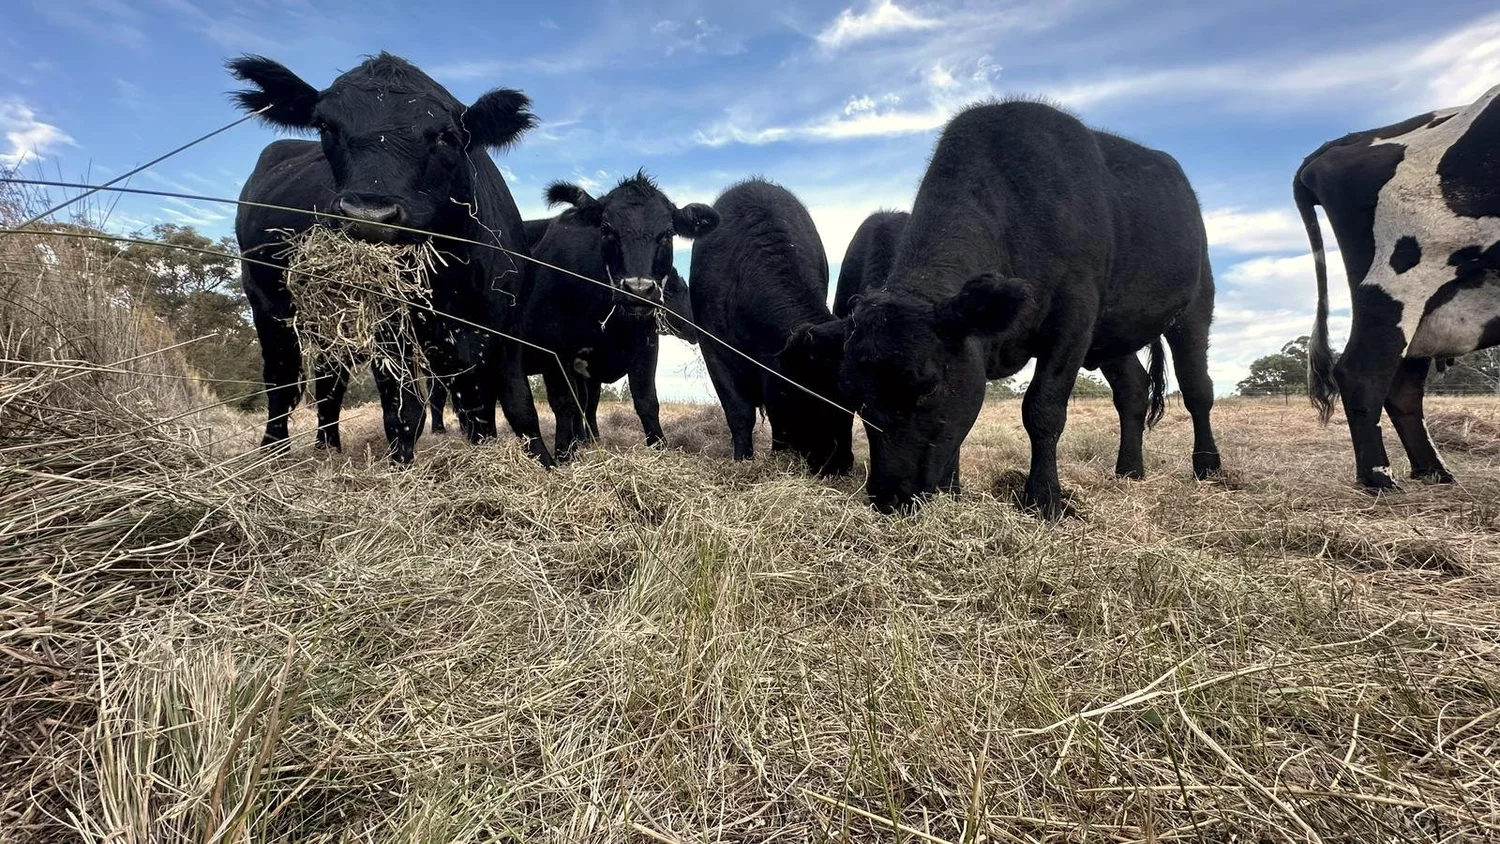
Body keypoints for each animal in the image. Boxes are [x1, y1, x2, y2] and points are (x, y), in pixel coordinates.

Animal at [228, 52, 552, 466]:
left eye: (445, 135)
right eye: (325, 126)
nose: (369, 214)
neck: (453, 281)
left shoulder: (503, 331)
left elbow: (515, 407)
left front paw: (539, 462)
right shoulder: (390, 332)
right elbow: (404, 411)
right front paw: (401, 468)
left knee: (330, 380)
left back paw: (327, 447)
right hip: (267, 305)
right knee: (281, 381)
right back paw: (273, 452)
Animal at [518, 172, 717, 457]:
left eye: (668, 233)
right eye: (606, 229)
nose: (638, 289)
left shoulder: (643, 345)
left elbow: (645, 401)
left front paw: (658, 448)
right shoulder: (554, 348)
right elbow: (566, 404)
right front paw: (565, 454)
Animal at [798, 100, 1221, 517]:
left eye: (927, 385)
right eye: (852, 394)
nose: (890, 497)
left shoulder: (1073, 320)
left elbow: (1042, 408)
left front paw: (1044, 498)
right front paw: (954, 492)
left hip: (1195, 305)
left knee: (1197, 388)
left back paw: (1208, 467)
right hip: (1111, 335)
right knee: (1133, 388)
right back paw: (1129, 470)